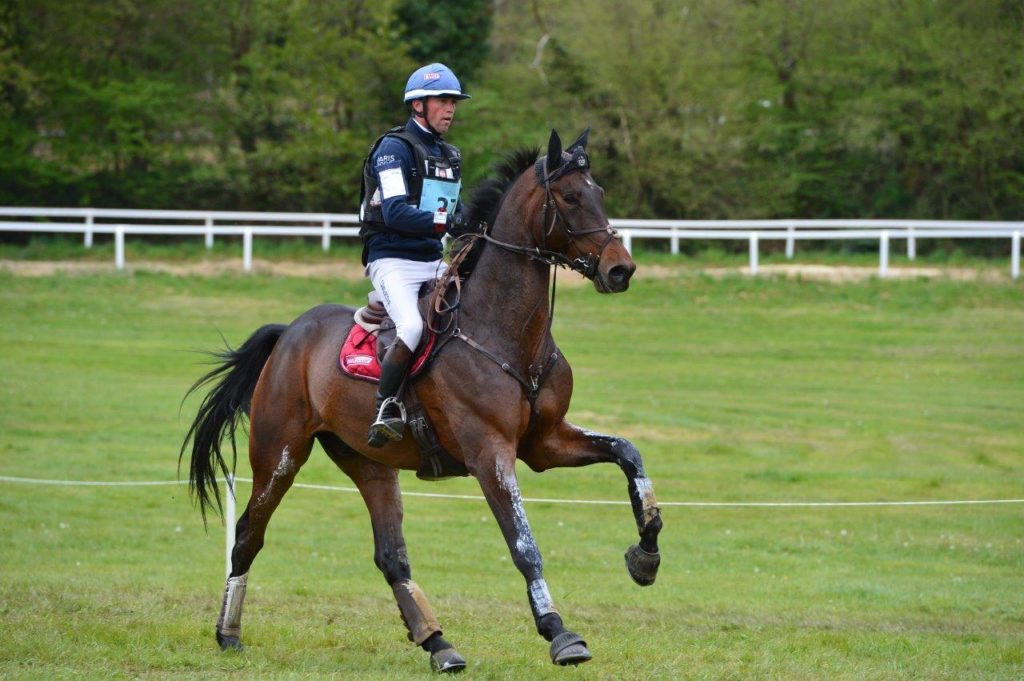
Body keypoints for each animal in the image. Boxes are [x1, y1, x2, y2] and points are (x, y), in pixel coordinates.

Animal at [179, 125, 663, 667]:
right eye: (571, 197)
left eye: (599, 192)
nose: (621, 270)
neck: (505, 333)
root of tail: (289, 335)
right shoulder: (490, 454)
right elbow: (524, 545)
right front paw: (559, 633)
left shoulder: (546, 443)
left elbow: (628, 453)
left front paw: (645, 556)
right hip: (279, 455)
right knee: (248, 536)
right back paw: (228, 632)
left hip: (369, 463)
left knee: (391, 556)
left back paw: (439, 644)